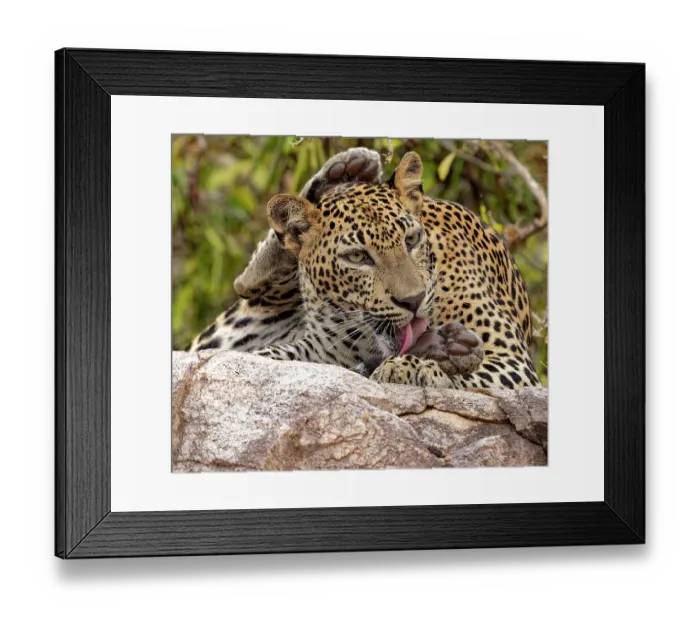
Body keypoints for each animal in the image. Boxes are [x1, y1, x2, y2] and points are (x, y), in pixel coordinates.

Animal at [188, 147, 541, 390]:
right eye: (357, 257)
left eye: (411, 239)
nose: (413, 301)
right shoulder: (316, 352)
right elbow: (262, 359)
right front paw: (426, 359)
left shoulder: (513, 362)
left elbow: (472, 375)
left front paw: (418, 366)